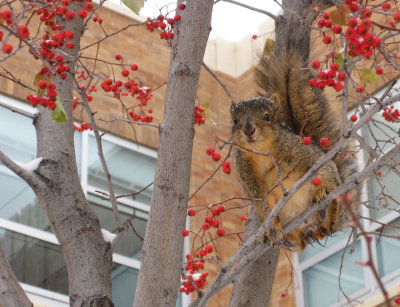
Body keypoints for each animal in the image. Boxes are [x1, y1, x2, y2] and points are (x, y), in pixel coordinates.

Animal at [231, 54, 360, 253]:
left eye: (267, 116)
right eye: (235, 121)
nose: (248, 130)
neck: (260, 150)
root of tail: (310, 227)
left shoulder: (297, 149)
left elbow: (291, 164)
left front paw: (271, 177)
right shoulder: (243, 167)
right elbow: (259, 195)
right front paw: (269, 227)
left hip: (325, 174)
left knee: (328, 209)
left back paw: (324, 201)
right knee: (297, 242)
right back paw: (279, 235)